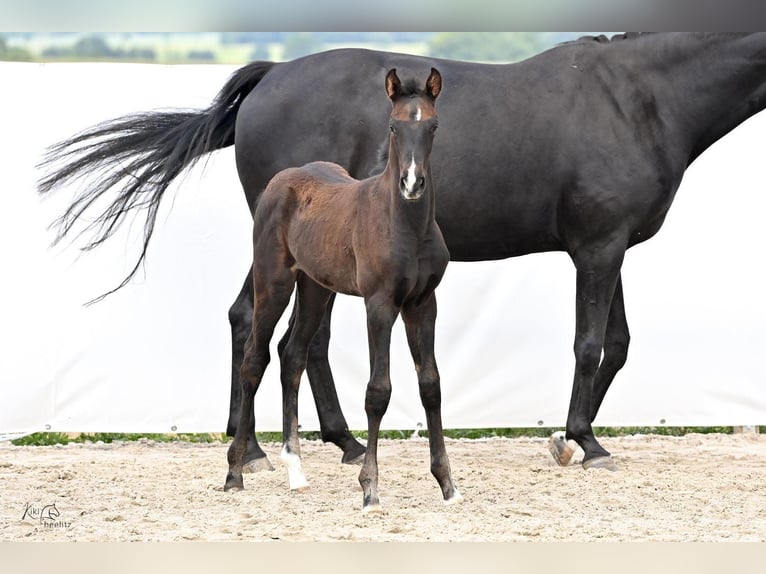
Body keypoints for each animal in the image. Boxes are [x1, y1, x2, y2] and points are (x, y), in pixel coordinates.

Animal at [222, 70, 462, 516]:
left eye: (433, 126)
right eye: (393, 126)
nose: (412, 183)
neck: (406, 224)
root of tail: (282, 179)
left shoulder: (424, 304)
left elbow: (431, 385)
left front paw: (447, 484)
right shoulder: (380, 304)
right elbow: (378, 392)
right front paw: (370, 489)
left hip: (315, 289)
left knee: (292, 356)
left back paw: (296, 472)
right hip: (274, 283)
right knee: (254, 359)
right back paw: (236, 471)